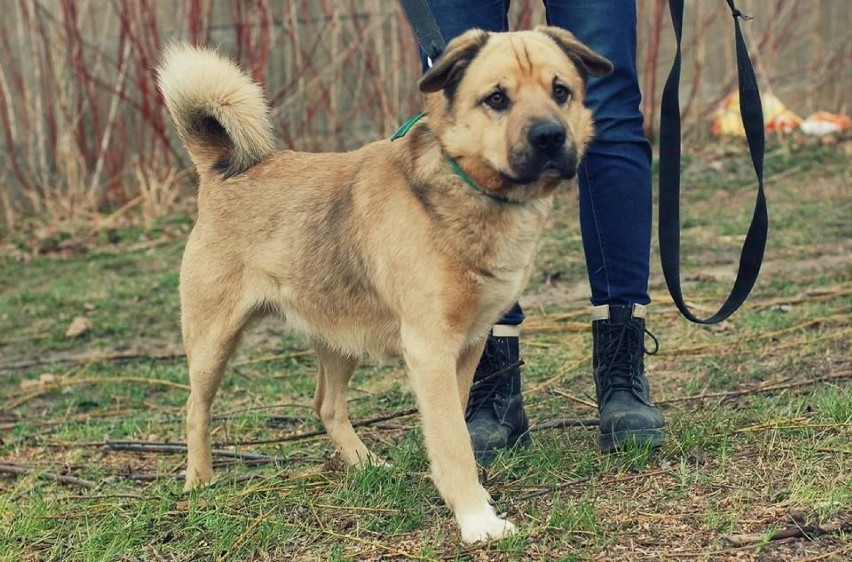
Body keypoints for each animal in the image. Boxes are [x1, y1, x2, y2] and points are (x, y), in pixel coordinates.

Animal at [158, 28, 612, 540]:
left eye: (561, 91)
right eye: (497, 98)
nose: (551, 136)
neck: (468, 188)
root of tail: (220, 166)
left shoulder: (469, 345)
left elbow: (452, 426)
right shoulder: (430, 350)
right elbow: (452, 440)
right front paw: (476, 519)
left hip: (341, 336)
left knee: (327, 405)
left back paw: (366, 464)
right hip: (213, 342)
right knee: (196, 409)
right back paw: (200, 482)